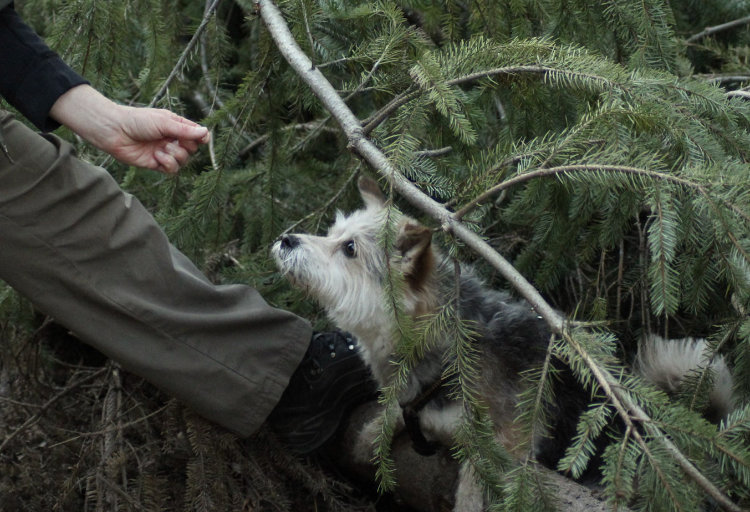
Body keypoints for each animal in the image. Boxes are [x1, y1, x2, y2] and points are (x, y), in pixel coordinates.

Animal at [274, 177, 736, 512]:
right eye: (332, 232)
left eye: (349, 248)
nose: (286, 239)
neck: (450, 348)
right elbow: (388, 416)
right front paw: (371, 438)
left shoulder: (504, 447)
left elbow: (474, 487)